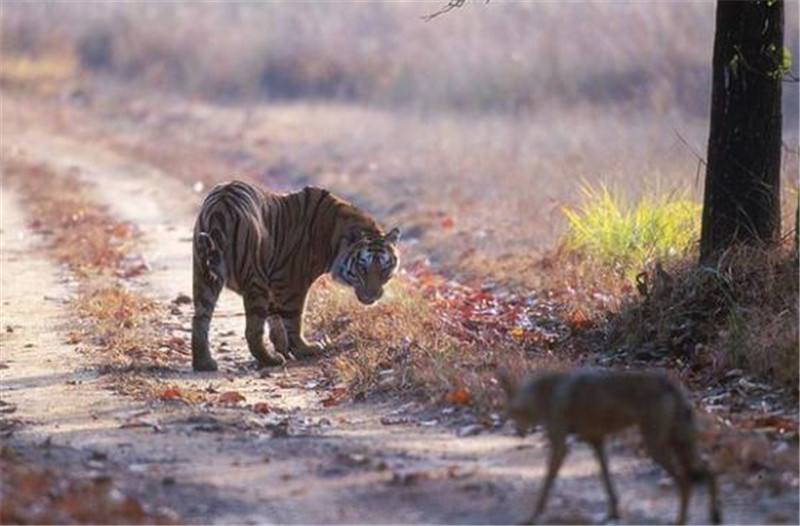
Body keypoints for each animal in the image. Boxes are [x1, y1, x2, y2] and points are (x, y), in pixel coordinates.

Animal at [194, 180, 400, 372]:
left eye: (384, 269)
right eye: (363, 268)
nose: (373, 295)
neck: (334, 238)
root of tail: (221, 204)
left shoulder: (273, 284)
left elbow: (275, 318)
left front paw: (283, 347)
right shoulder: (292, 283)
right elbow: (293, 319)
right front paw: (304, 349)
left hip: (203, 275)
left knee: (200, 318)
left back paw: (204, 363)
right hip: (255, 279)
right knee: (252, 330)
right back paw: (270, 360)